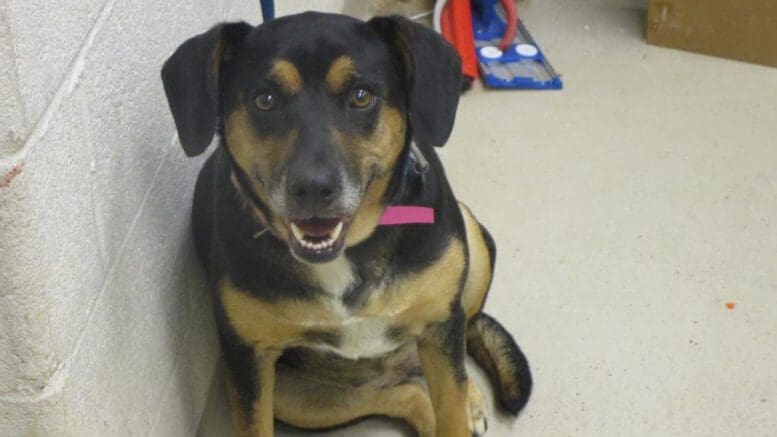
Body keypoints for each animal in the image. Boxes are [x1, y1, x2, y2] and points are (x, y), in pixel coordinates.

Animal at [161, 11, 532, 436]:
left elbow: (451, 406)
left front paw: (463, 405)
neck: (347, 254)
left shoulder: (440, 321)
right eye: (265, 99)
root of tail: (396, 365)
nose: (313, 188)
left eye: (361, 96)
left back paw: (469, 396)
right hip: (294, 398)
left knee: (463, 338)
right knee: (406, 395)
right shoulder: (247, 362)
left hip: (469, 245)